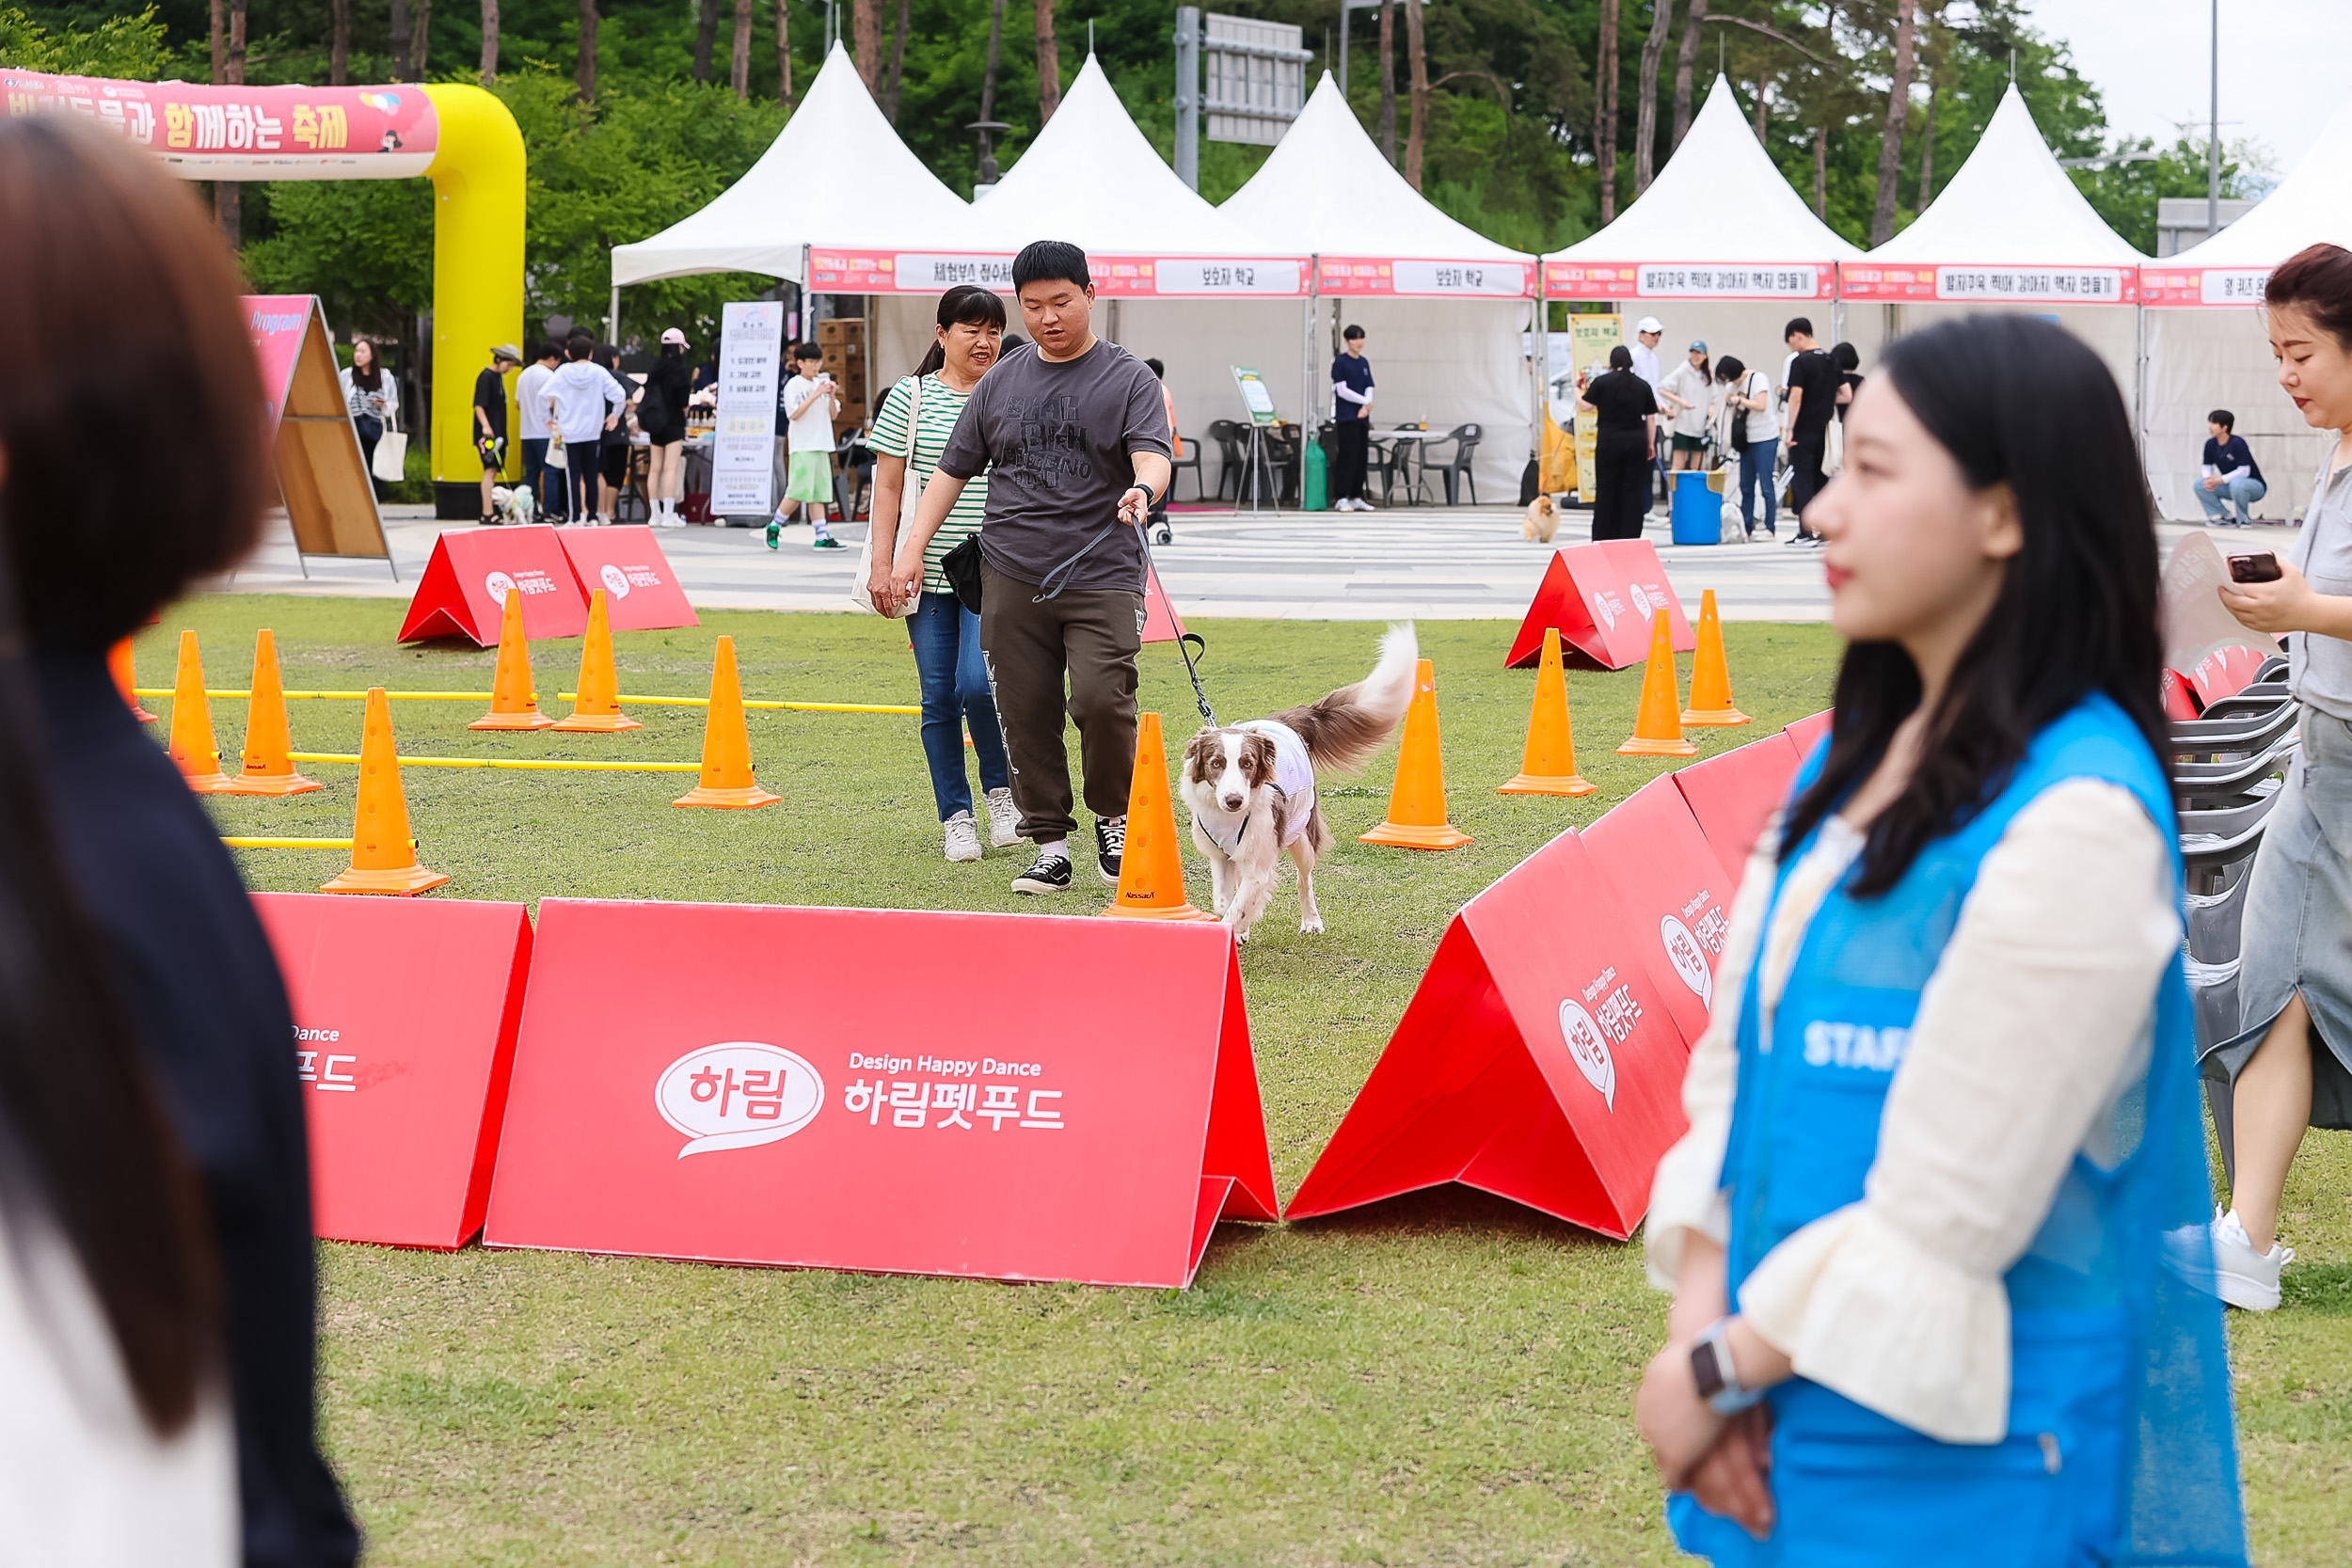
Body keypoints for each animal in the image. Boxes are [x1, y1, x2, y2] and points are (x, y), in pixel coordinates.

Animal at [1176, 625, 1411, 944]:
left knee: (1305, 880)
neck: (1229, 818)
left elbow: (1240, 902)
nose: (1234, 800)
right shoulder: (1222, 853)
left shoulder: (1260, 853)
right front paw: (1240, 925)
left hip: (1301, 832)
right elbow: (1227, 900)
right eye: (1216, 763)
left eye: (1248, 763)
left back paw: (1311, 920)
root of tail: (1289, 720)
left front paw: (1235, 928)